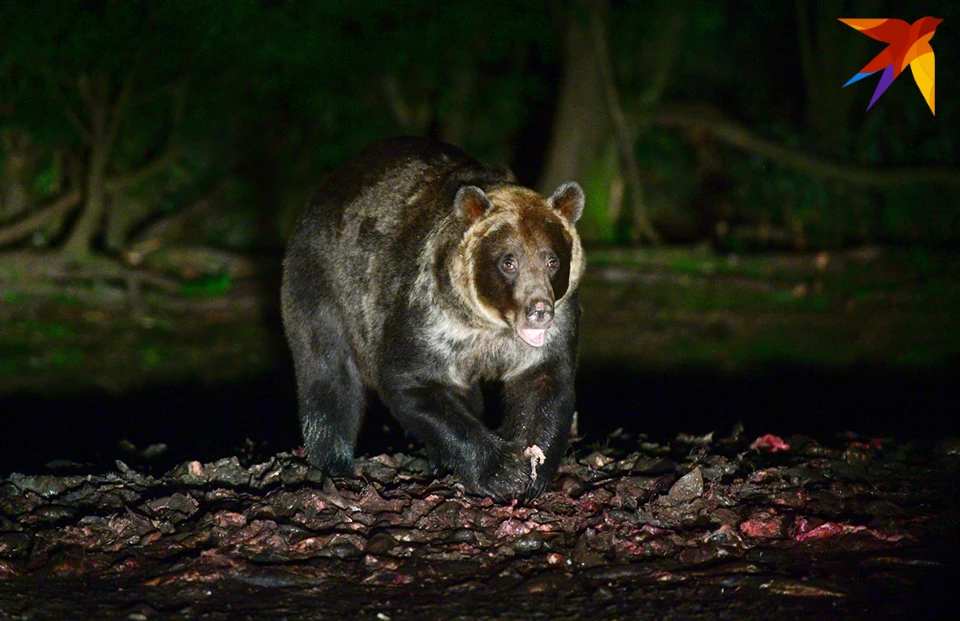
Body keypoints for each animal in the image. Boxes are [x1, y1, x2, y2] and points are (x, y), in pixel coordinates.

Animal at [282, 137, 584, 498]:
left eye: (552, 260)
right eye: (508, 261)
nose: (538, 311)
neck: (488, 326)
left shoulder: (554, 328)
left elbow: (545, 384)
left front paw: (533, 468)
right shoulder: (429, 319)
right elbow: (414, 384)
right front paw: (502, 470)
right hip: (322, 283)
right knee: (328, 373)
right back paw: (333, 463)